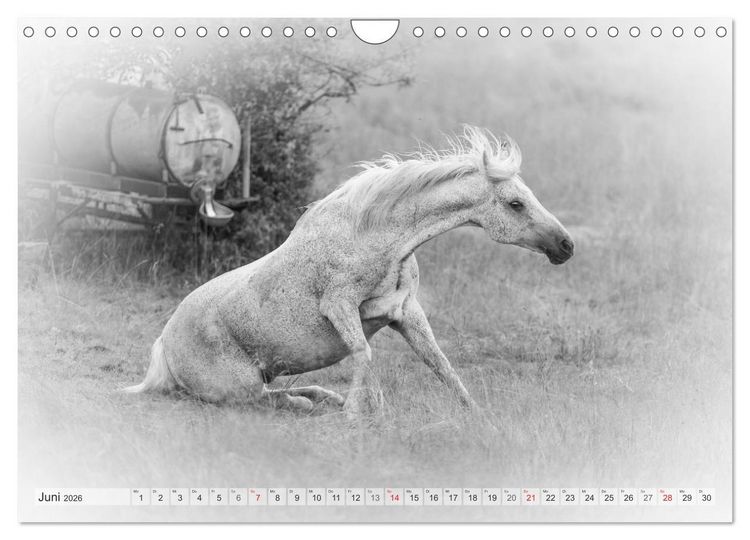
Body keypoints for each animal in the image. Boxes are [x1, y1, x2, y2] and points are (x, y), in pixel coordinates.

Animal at [124, 126, 574, 415]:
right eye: (515, 204)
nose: (566, 246)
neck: (377, 239)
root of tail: (164, 344)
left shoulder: (406, 313)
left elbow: (441, 364)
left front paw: (477, 415)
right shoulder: (339, 307)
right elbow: (364, 354)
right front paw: (361, 413)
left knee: (282, 390)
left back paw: (324, 398)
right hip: (239, 385)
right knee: (264, 398)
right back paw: (308, 403)